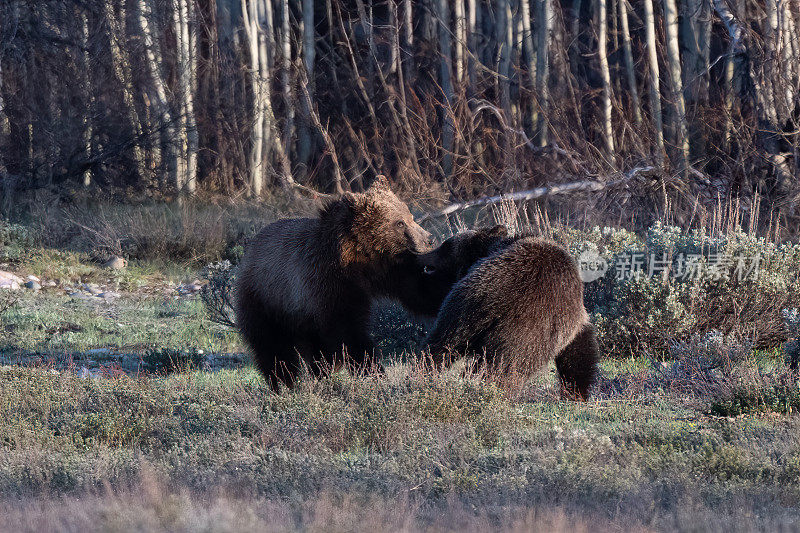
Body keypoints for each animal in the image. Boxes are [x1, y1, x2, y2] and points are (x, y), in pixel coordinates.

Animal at [234, 175, 434, 386]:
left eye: (410, 216)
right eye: (399, 223)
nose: (428, 239)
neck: (363, 260)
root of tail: (250, 249)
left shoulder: (392, 270)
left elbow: (419, 291)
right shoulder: (330, 284)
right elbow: (350, 331)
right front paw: (373, 372)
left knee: (315, 349)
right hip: (266, 301)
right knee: (273, 349)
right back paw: (283, 382)